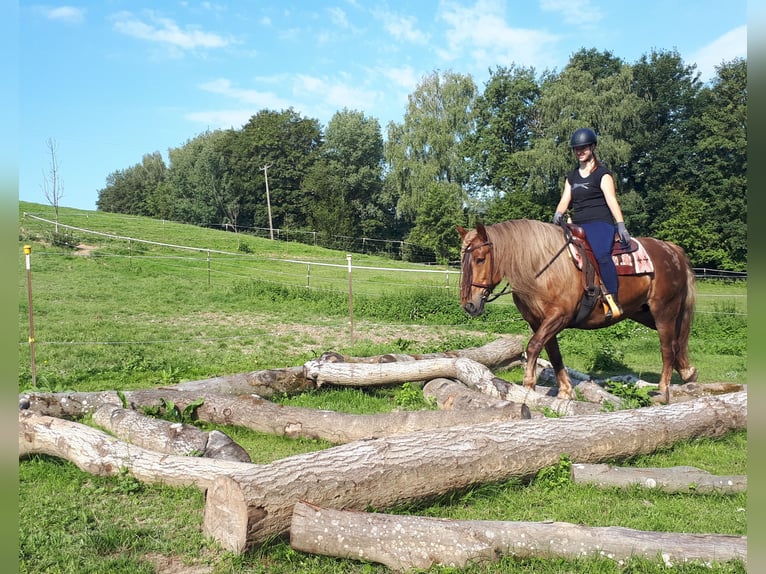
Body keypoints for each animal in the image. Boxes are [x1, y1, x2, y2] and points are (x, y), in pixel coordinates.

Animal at [457, 219, 697, 403]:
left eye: (480, 259)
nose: (469, 305)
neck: (541, 269)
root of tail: (671, 249)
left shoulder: (558, 317)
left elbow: (533, 346)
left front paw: (528, 387)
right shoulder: (539, 322)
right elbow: (553, 353)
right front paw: (565, 391)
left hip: (664, 311)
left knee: (668, 347)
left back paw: (663, 390)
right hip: (644, 312)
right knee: (677, 343)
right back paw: (688, 372)